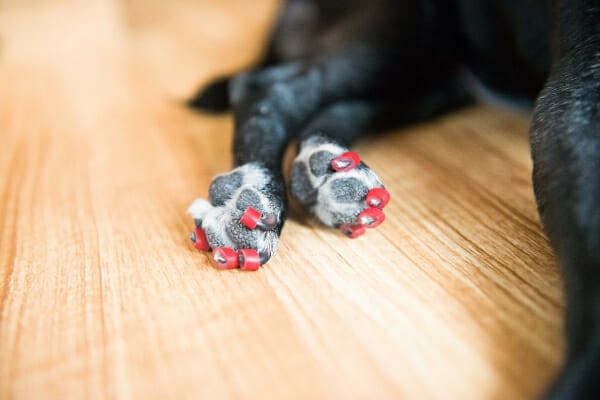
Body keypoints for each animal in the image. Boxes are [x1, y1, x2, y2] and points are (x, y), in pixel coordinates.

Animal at [189, 0, 600, 396]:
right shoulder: (576, 98)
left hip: (435, 81)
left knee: (347, 105)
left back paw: (330, 172)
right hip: (410, 31)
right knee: (268, 89)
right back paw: (256, 190)